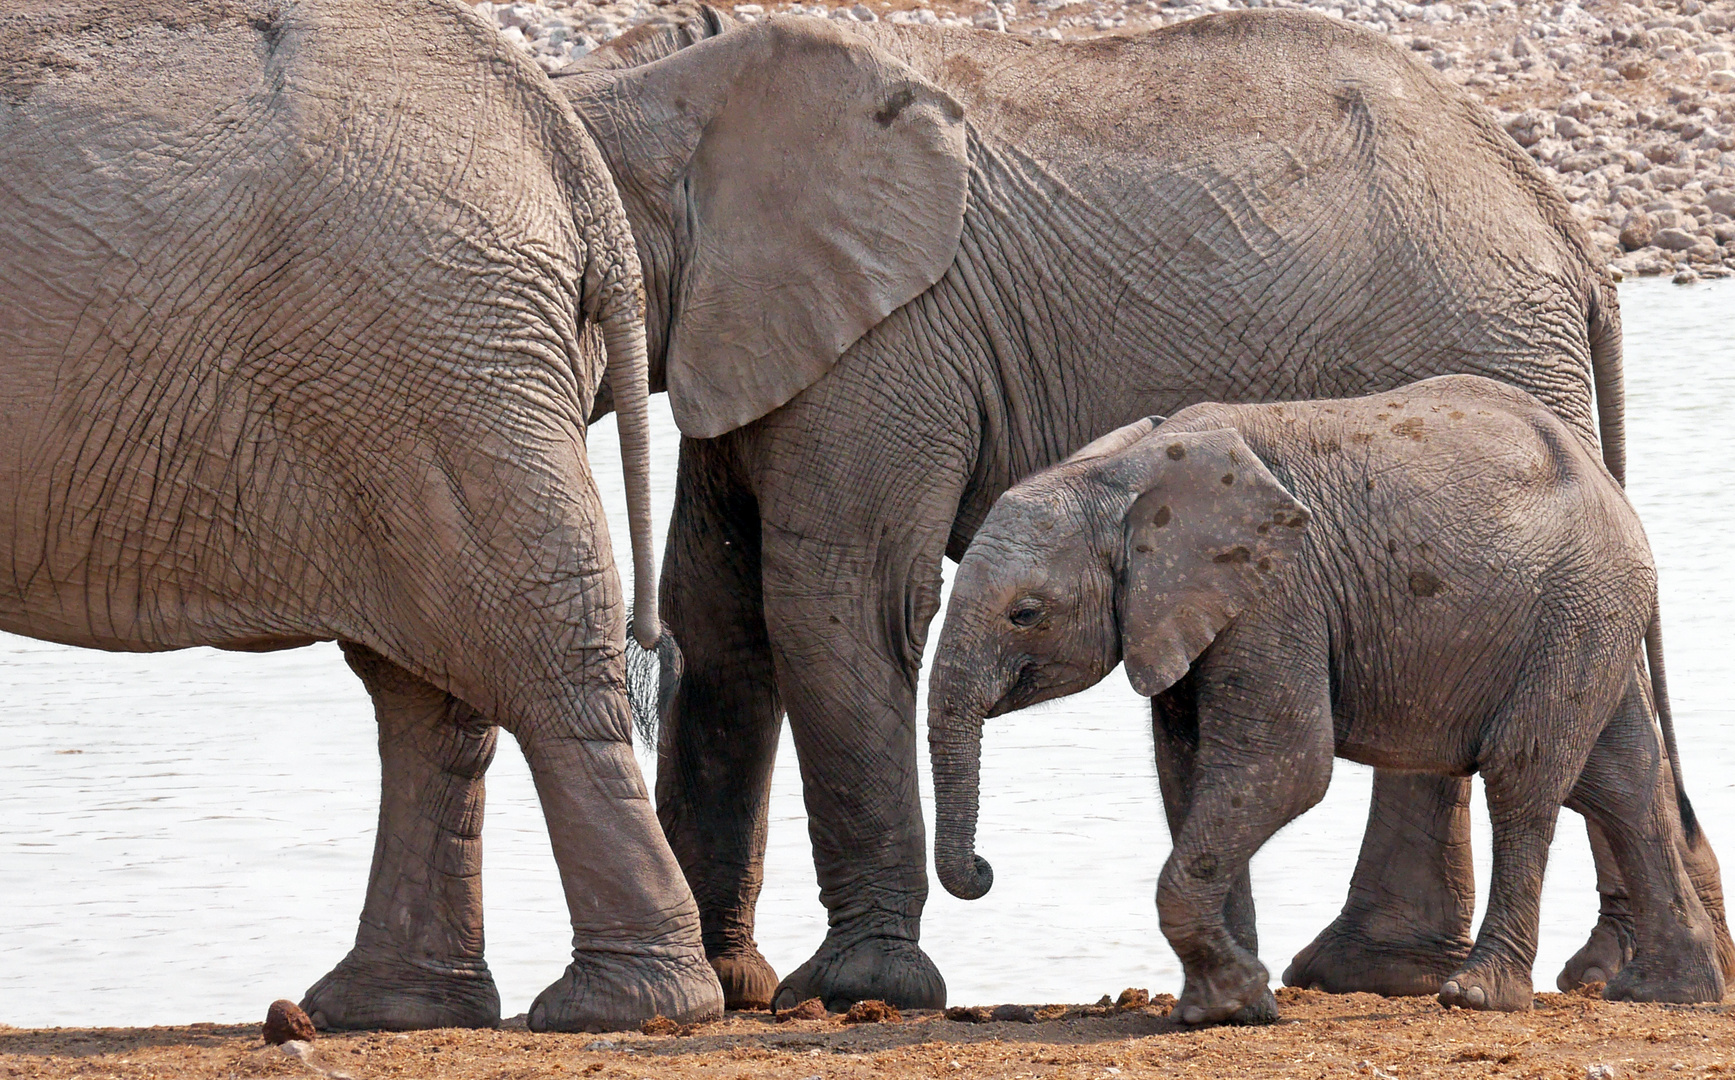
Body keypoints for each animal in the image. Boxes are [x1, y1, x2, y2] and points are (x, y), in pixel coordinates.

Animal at [0, 0, 721, 1034]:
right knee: (429, 693)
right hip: (411, 392)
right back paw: (391, 1005)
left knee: (537, 655)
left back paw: (623, 1005)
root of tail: (564, 157)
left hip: (436, 359)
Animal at [923, 376, 1721, 1027]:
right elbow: (1190, 777)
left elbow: (1283, 767)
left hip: (1576, 602)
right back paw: (1669, 992)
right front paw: (1229, 1005)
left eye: (1025, 614)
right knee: (1620, 778)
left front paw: (1232, 1001)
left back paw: (1480, 995)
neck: (1118, 474)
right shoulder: (1189, 609)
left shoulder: (1276, 592)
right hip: (1586, 611)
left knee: (1524, 775)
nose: (985, 872)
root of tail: (1609, 482)